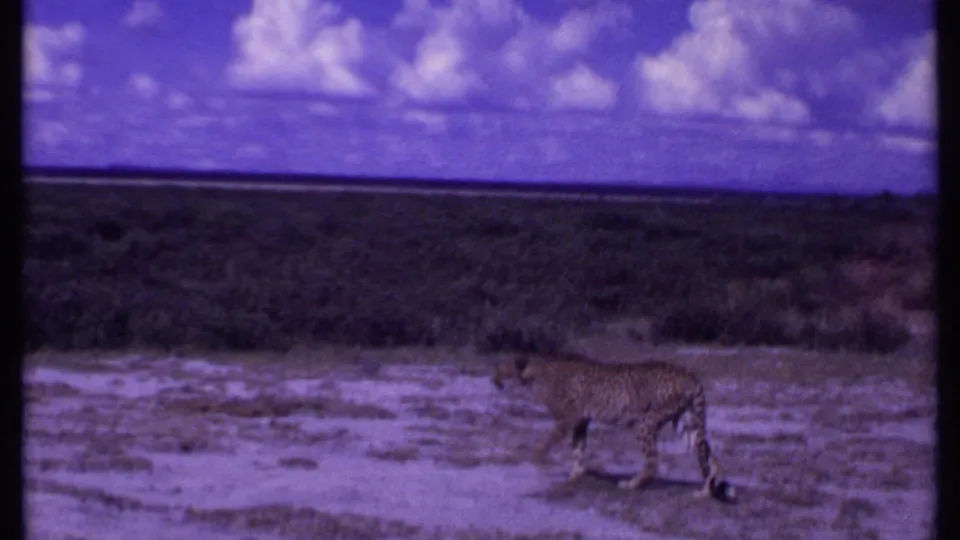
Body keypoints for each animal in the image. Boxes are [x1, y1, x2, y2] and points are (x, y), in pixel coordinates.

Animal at [492, 352, 735, 502]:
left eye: (501, 366)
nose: (494, 378)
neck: (536, 371)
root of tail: (688, 373)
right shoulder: (581, 422)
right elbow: (578, 450)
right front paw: (575, 476)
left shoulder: (567, 419)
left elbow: (547, 444)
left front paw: (537, 460)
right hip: (685, 423)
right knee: (709, 457)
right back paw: (706, 491)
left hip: (644, 423)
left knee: (653, 463)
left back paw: (630, 485)